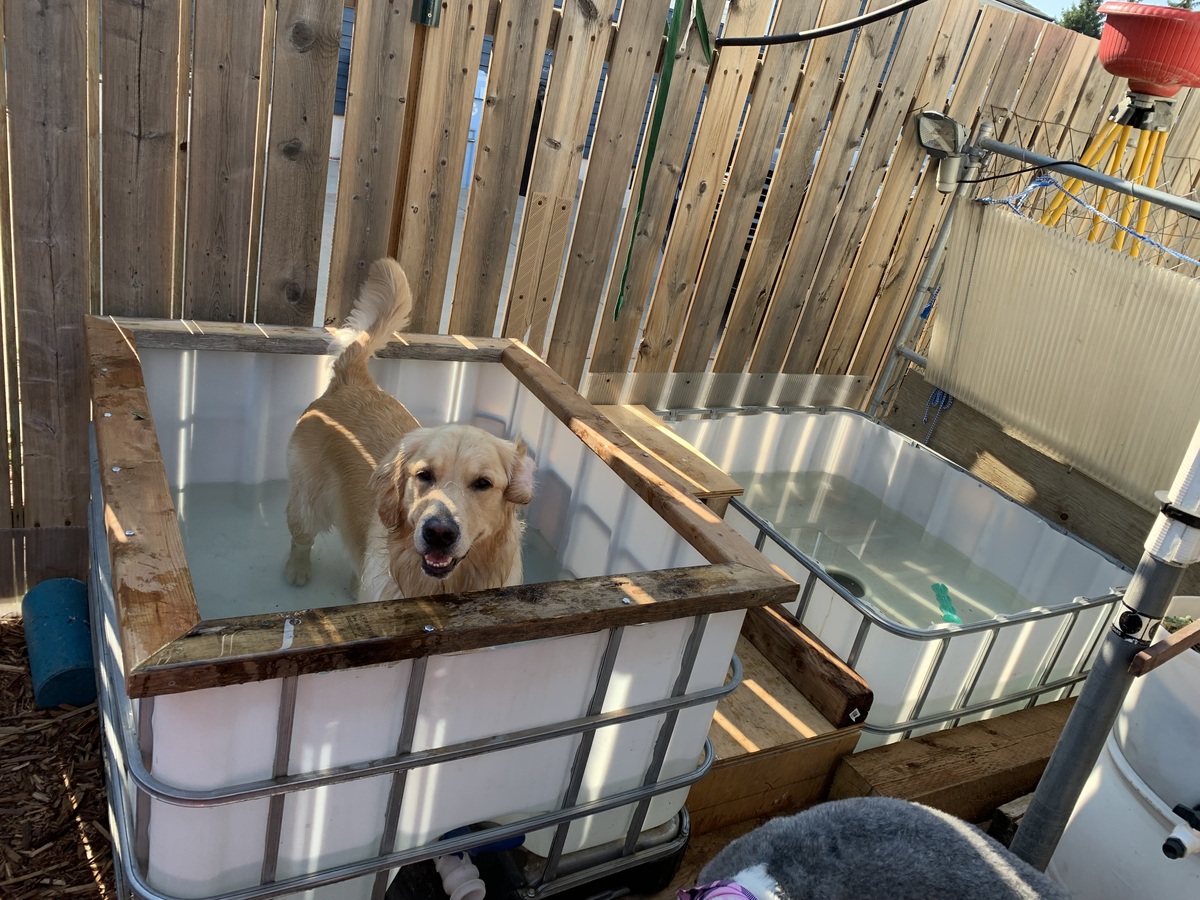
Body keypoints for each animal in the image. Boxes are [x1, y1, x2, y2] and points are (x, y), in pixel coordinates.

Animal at [284, 257, 535, 602]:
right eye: (423, 475)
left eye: (483, 483)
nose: (438, 532)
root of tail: (353, 379)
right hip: (309, 496)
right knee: (302, 535)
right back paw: (297, 570)